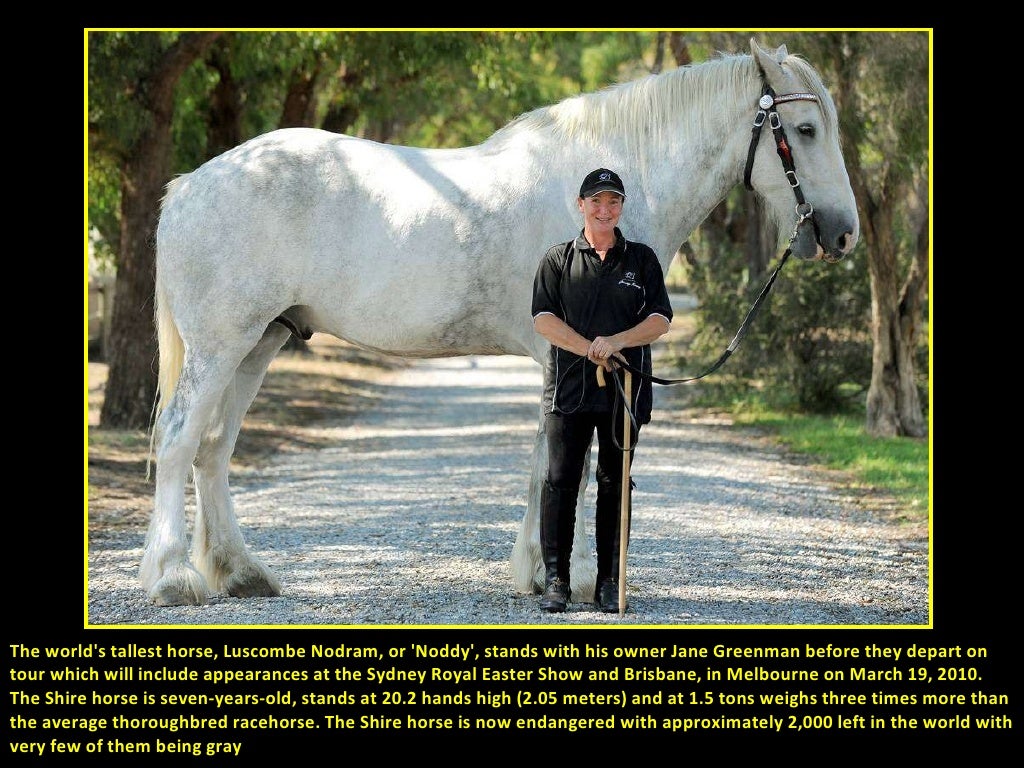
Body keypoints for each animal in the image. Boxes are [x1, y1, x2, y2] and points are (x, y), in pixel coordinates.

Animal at [141, 38, 858, 607]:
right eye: (806, 130)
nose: (843, 234)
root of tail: (190, 184)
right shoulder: (566, 355)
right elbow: (564, 462)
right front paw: (564, 575)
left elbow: (549, 460)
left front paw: (540, 570)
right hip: (221, 345)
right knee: (179, 441)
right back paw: (172, 579)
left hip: (258, 343)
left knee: (213, 451)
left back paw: (241, 574)